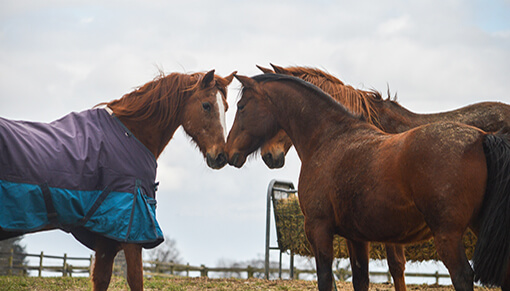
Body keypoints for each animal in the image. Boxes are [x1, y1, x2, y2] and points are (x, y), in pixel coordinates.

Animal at [0, 69, 235, 290]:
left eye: (226, 107)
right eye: (206, 106)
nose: (221, 156)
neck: (129, 134)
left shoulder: (106, 237)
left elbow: (102, 279)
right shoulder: (131, 233)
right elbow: (135, 280)